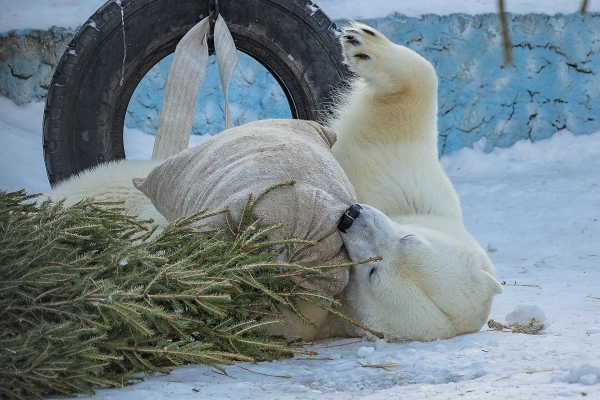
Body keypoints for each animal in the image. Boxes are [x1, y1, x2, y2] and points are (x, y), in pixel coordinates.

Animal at [314, 21, 502, 340]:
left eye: (373, 273)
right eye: (409, 238)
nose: (351, 215)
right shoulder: (411, 177)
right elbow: (420, 83)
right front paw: (363, 43)